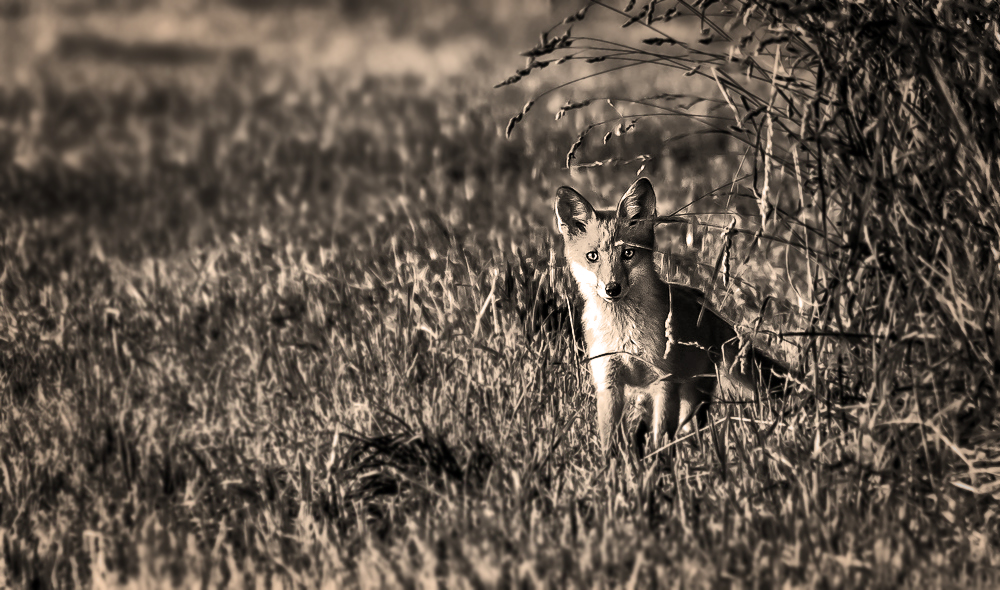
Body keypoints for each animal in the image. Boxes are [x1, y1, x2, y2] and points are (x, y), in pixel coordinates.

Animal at [556, 178, 788, 456]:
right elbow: (610, 439)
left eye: (628, 254)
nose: (612, 289)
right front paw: (611, 466)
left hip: (694, 392)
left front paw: (659, 465)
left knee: (689, 429)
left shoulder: (664, 380)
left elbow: (660, 437)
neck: (624, 335)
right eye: (593, 256)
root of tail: (708, 309)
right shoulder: (608, 382)